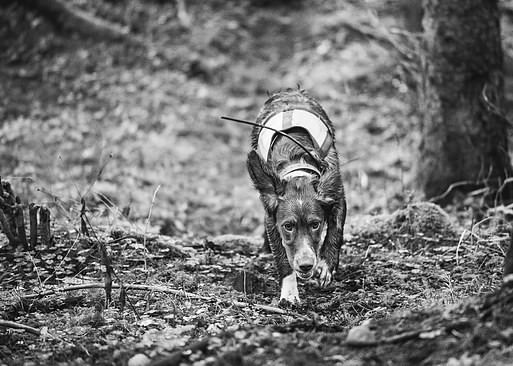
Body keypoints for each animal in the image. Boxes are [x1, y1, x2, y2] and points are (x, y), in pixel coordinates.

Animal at [246, 88, 346, 304]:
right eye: (288, 226)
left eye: (315, 224)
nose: (306, 265)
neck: (297, 163)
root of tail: (289, 91)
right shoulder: (272, 218)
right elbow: (283, 259)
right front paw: (290, 294)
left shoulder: (336, 194)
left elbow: (336, 230)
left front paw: (326, 265)